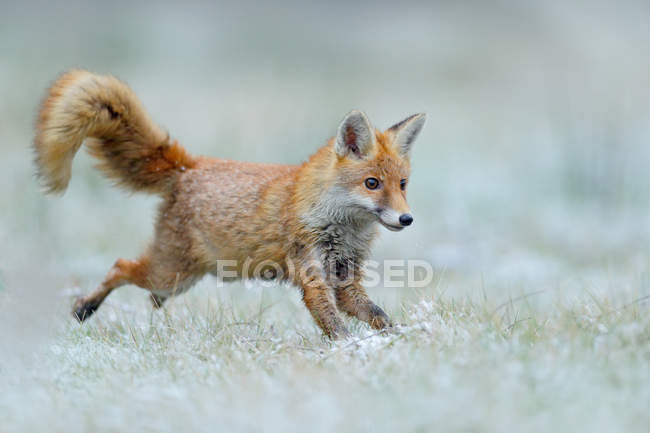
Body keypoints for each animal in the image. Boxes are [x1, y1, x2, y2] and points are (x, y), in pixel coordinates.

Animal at [33, 70, 422, 338]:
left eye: (403, 185)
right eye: (372, 184)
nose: (406, 219)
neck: (341, 227)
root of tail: (189, 165)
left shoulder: (345, 279)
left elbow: (378, 315)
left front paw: (400, 339)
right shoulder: (312, 277)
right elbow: (334, 324)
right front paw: (349, 350)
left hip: (179, 278)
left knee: (143, 285)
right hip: (171, 272)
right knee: (119, 266)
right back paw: (85, 307)